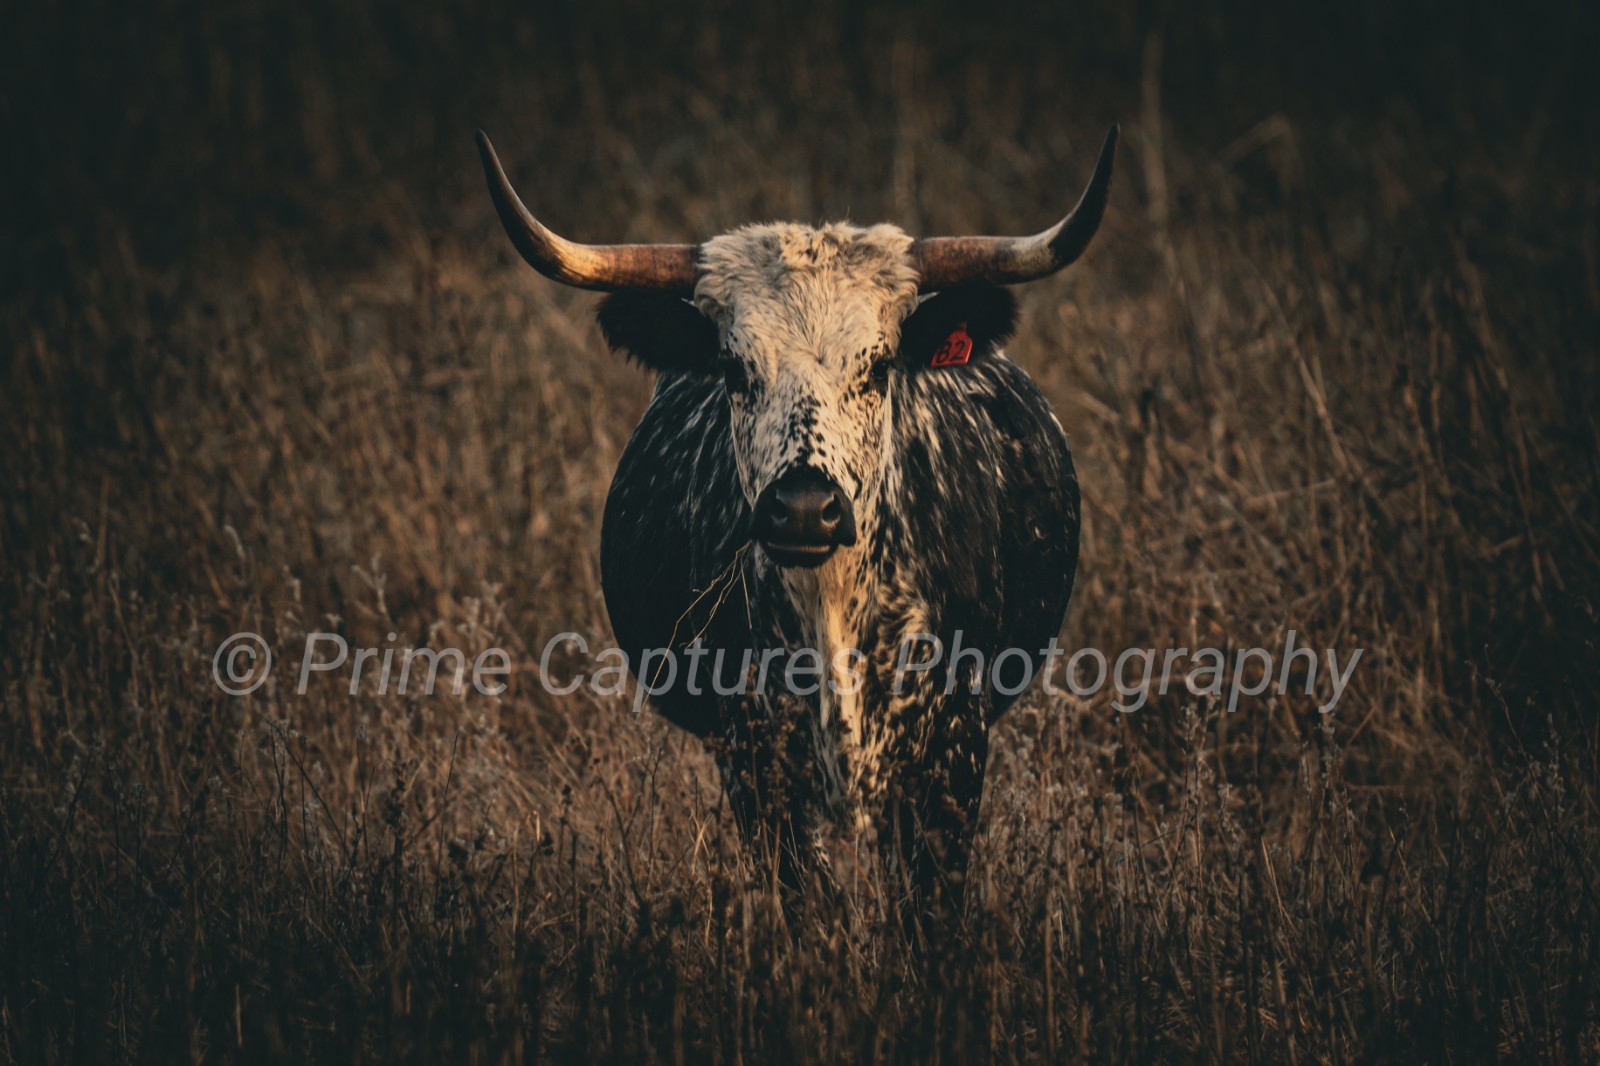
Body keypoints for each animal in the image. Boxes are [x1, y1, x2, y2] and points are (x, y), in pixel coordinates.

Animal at [476, 127, 1116, 922]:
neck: (830, 605)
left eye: (878, 366)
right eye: (734, 368)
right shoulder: (758, 759)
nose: (806, 506)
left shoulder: (950, 756)